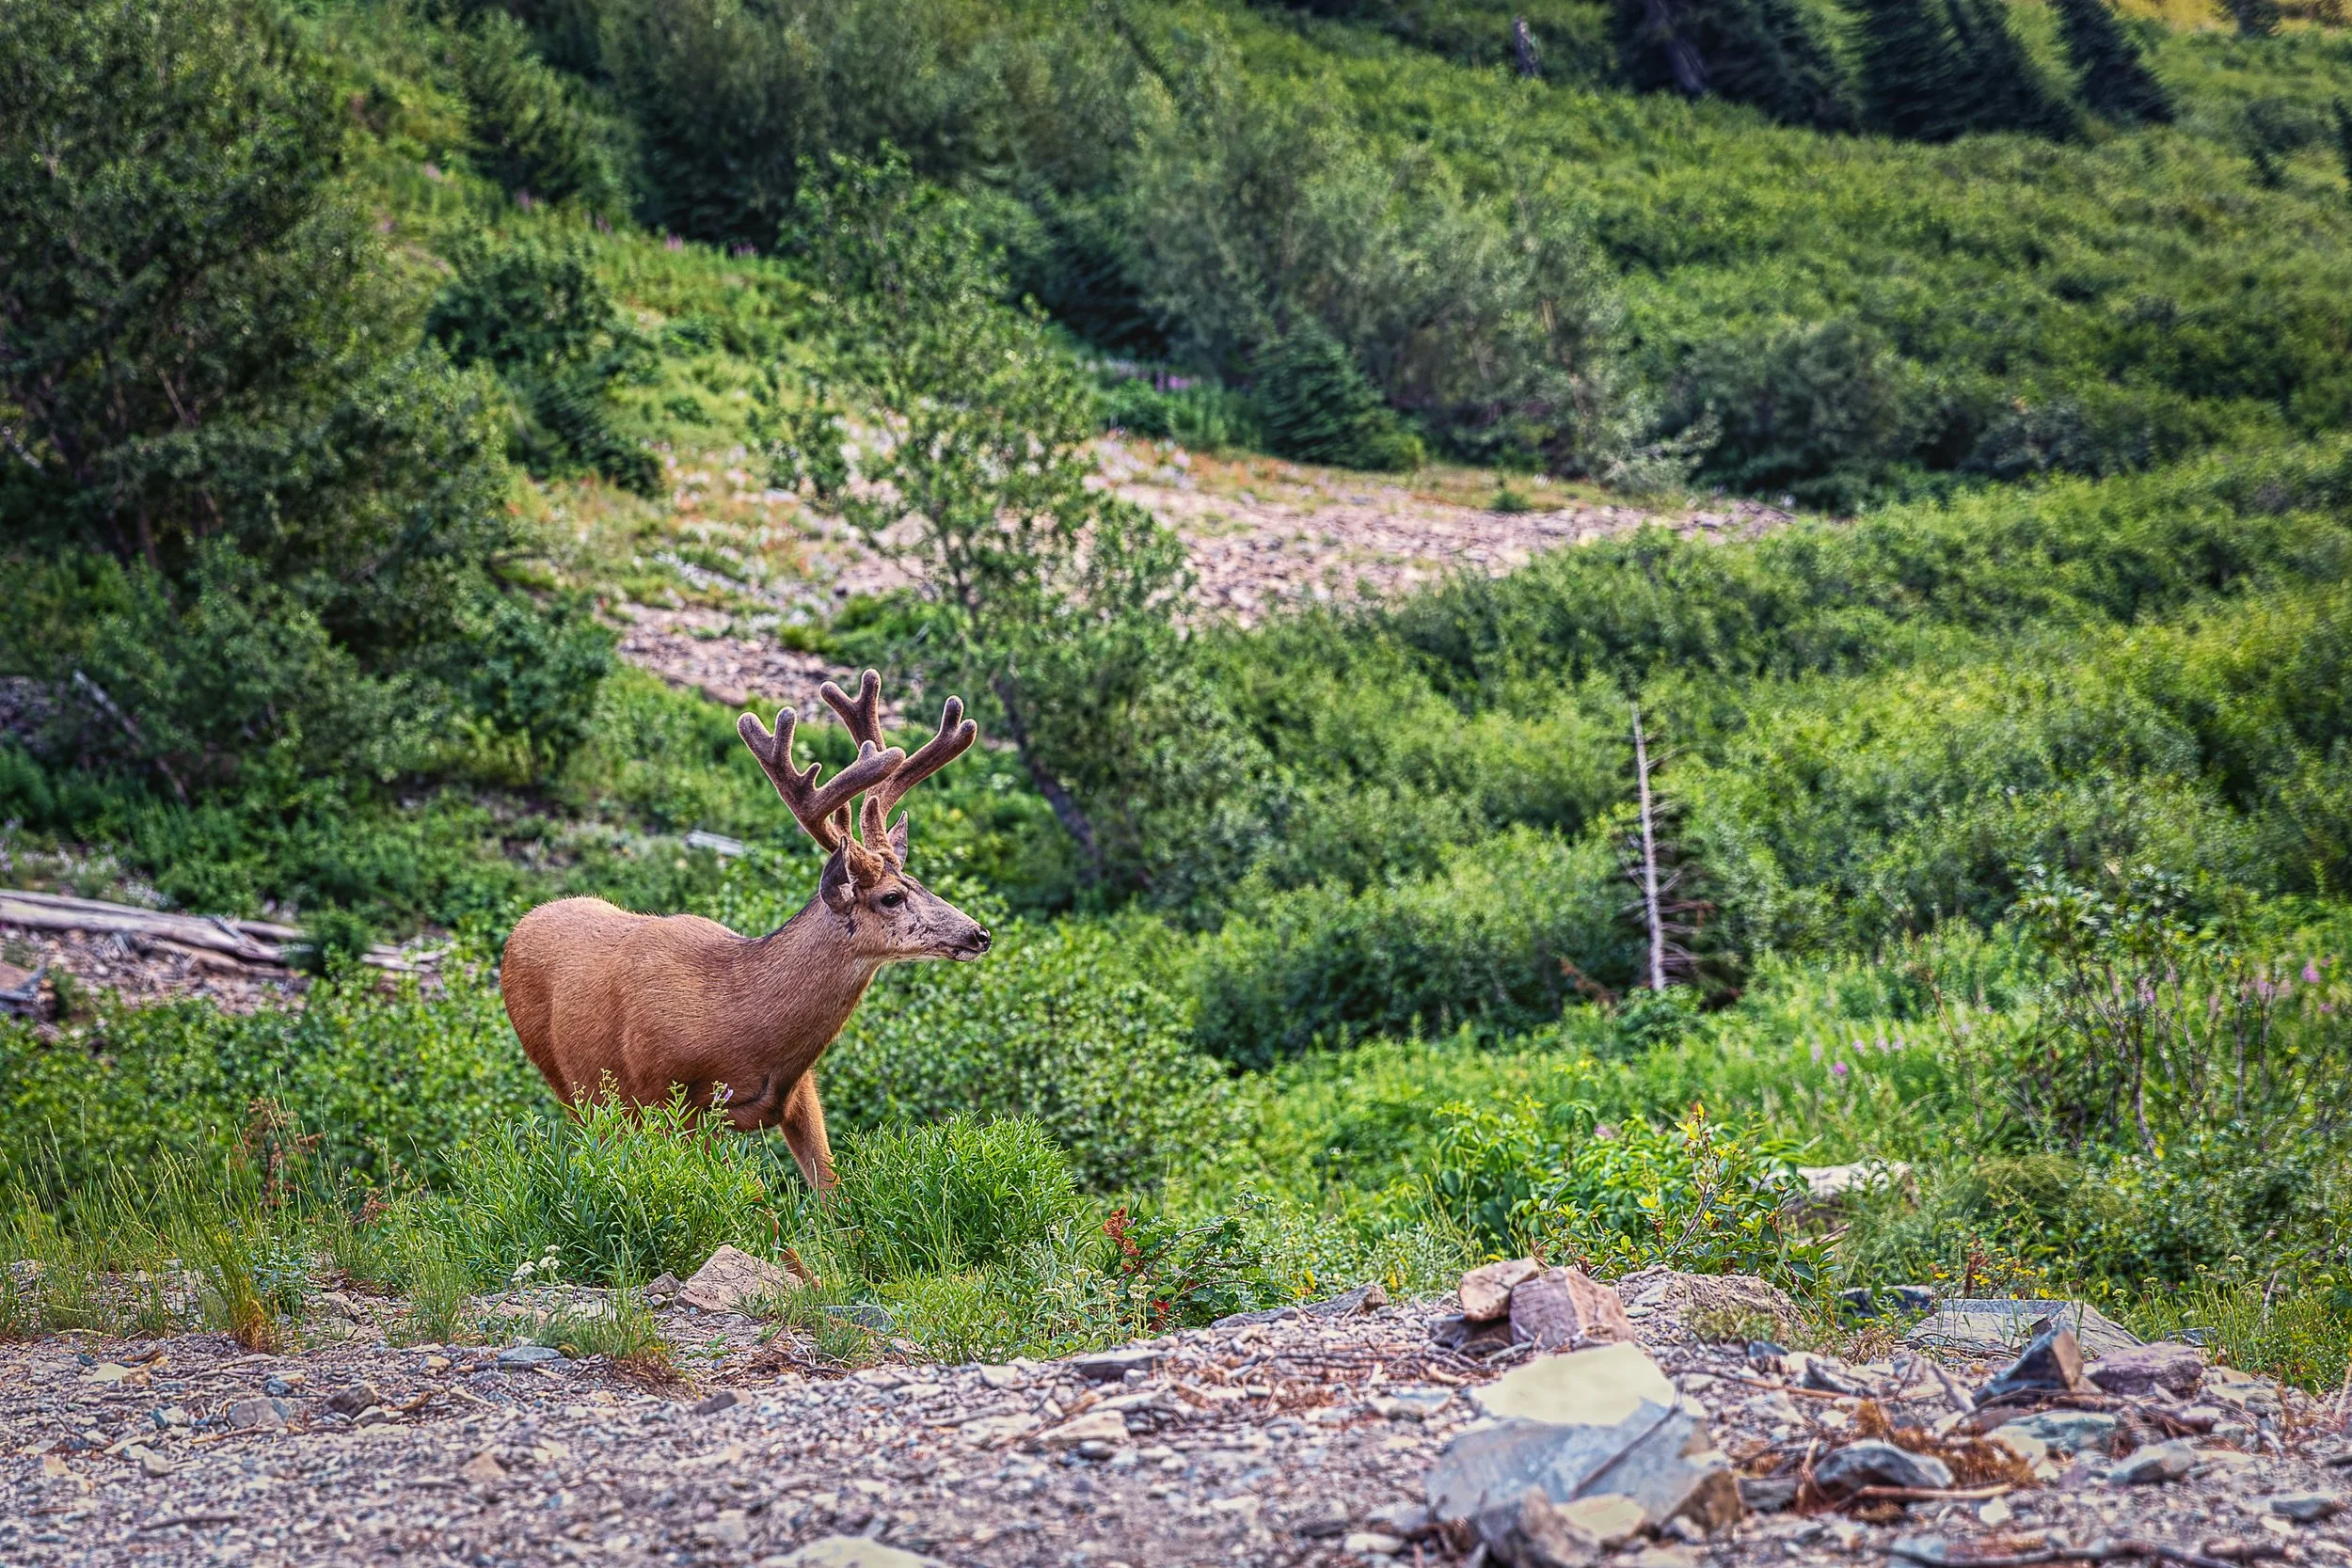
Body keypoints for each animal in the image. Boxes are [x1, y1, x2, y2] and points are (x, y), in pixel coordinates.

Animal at [499, 670, 991, 1193]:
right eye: (891, 897)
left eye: (919, 881)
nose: (978, 934)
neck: (739, 1024)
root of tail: (522, 925)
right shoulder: (672, 1103)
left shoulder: (800, 1090)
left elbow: (831, 1192)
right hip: (573, 1087)